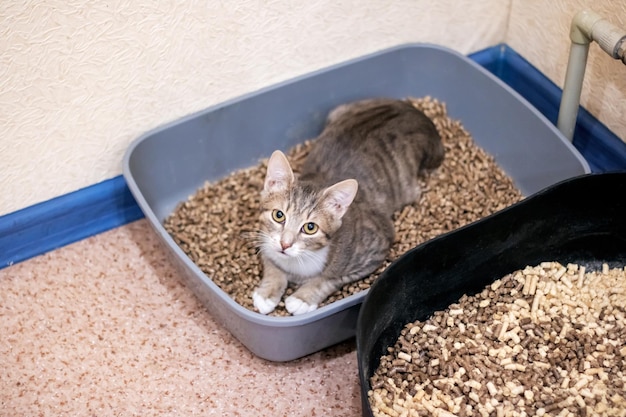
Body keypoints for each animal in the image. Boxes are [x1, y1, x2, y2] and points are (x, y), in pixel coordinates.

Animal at [251, 97, 442, 314]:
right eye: (279, 215)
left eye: (310, 227)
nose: (285, 244)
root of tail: (418, 114)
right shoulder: (264, 238)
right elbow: (271, 262)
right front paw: (267, 292)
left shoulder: (375, 248)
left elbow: (329, 278)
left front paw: (302, 298)